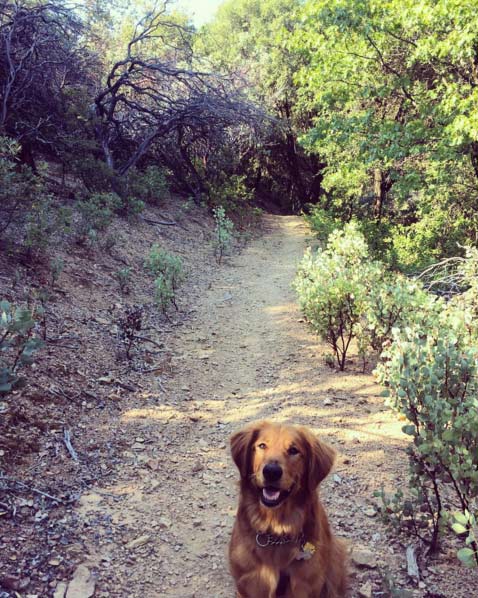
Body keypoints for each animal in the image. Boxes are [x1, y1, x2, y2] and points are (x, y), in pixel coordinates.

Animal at [229, 422, 348, 598]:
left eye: (293, 450)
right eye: (262, 445)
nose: (271, 471)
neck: (276, 529)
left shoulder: (305, 584)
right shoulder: (249, 581)